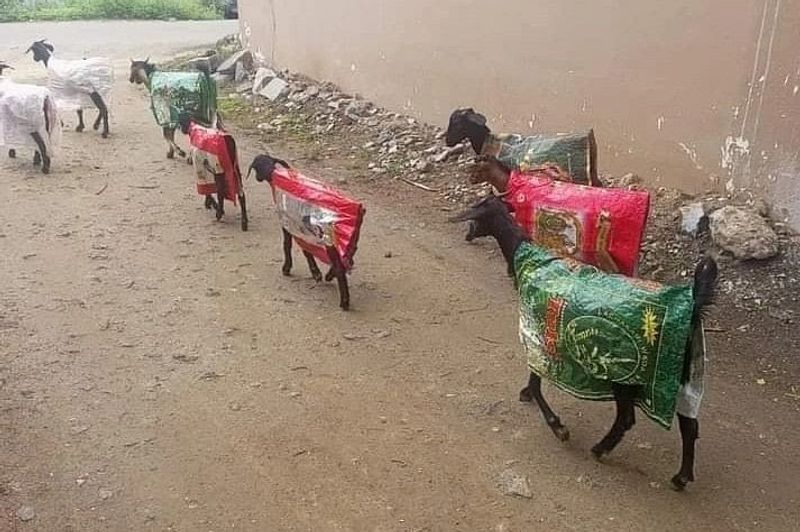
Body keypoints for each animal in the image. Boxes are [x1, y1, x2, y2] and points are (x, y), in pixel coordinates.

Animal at [248, 154, 368, 312]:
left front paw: (287, 268)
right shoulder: (300, 228)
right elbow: (306, 249)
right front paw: (315, 273)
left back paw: (344, 301)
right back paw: (329, 275)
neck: (276, 176)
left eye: (256, 167)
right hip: (349, 239)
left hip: (328, 240)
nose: (257, 178)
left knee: (340, 267)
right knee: (348, 259)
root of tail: (359, 209)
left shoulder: (288, 223)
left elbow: (287, 245)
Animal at [450, 195, 720, 490]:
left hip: (625, 375)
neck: (528, 257)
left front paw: (557, 426)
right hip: (684, 377)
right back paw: (681, 477)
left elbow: (536, 378)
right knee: (689, 426)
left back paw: (601, 449)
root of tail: (692, 305)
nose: (465, 231)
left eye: (477, 210)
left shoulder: (538, 333)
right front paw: (530, 397)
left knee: (627, 418)